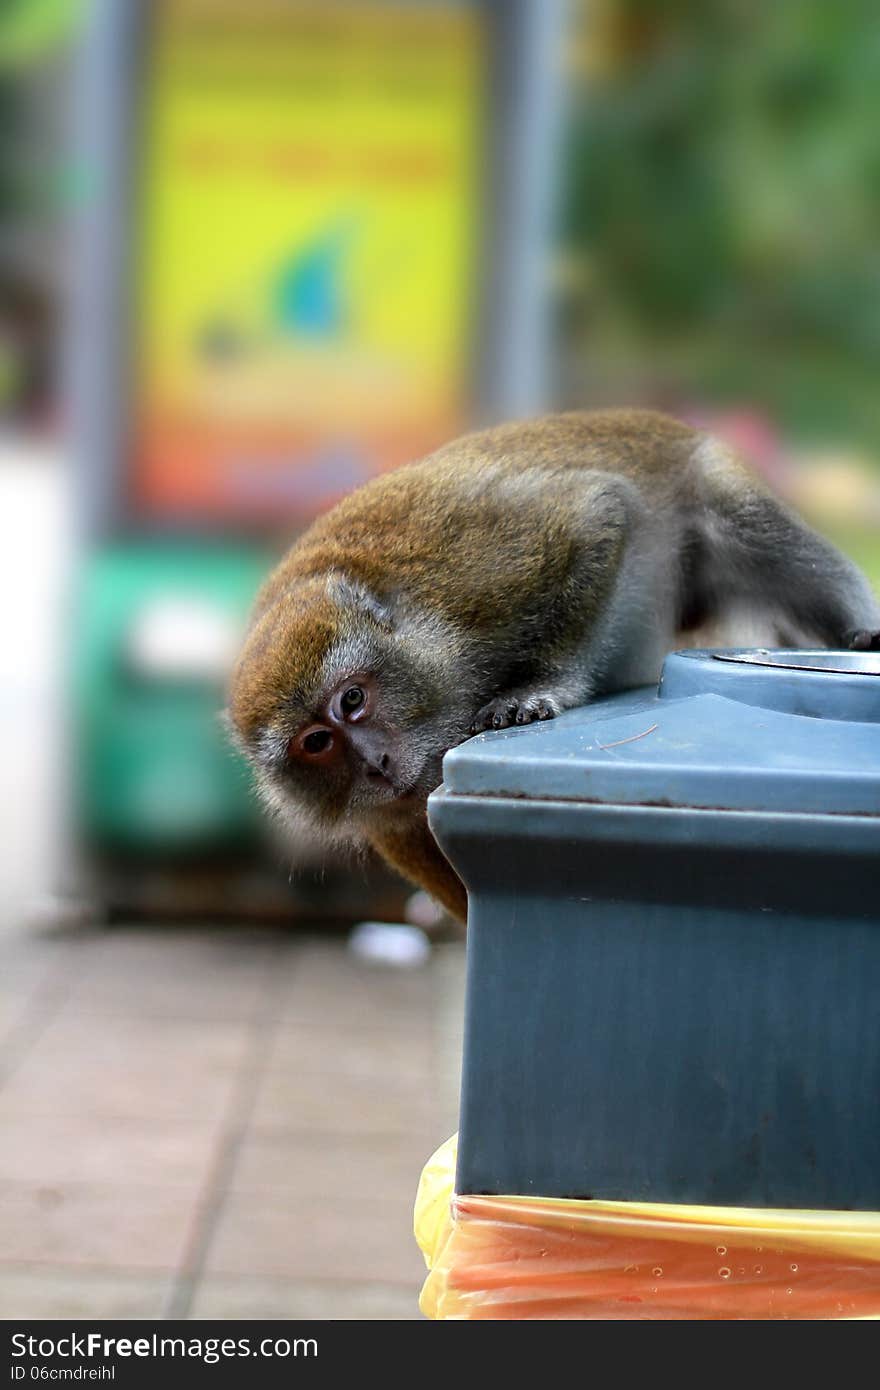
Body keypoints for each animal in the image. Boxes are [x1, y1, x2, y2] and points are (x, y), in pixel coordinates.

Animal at [227, 405, 878, 917]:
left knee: (736, 515)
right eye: (317, 742)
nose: (376, 765)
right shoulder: (389, 814)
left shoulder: (474, 580)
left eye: (353, 699)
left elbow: (596, 516)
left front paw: (542, 688)